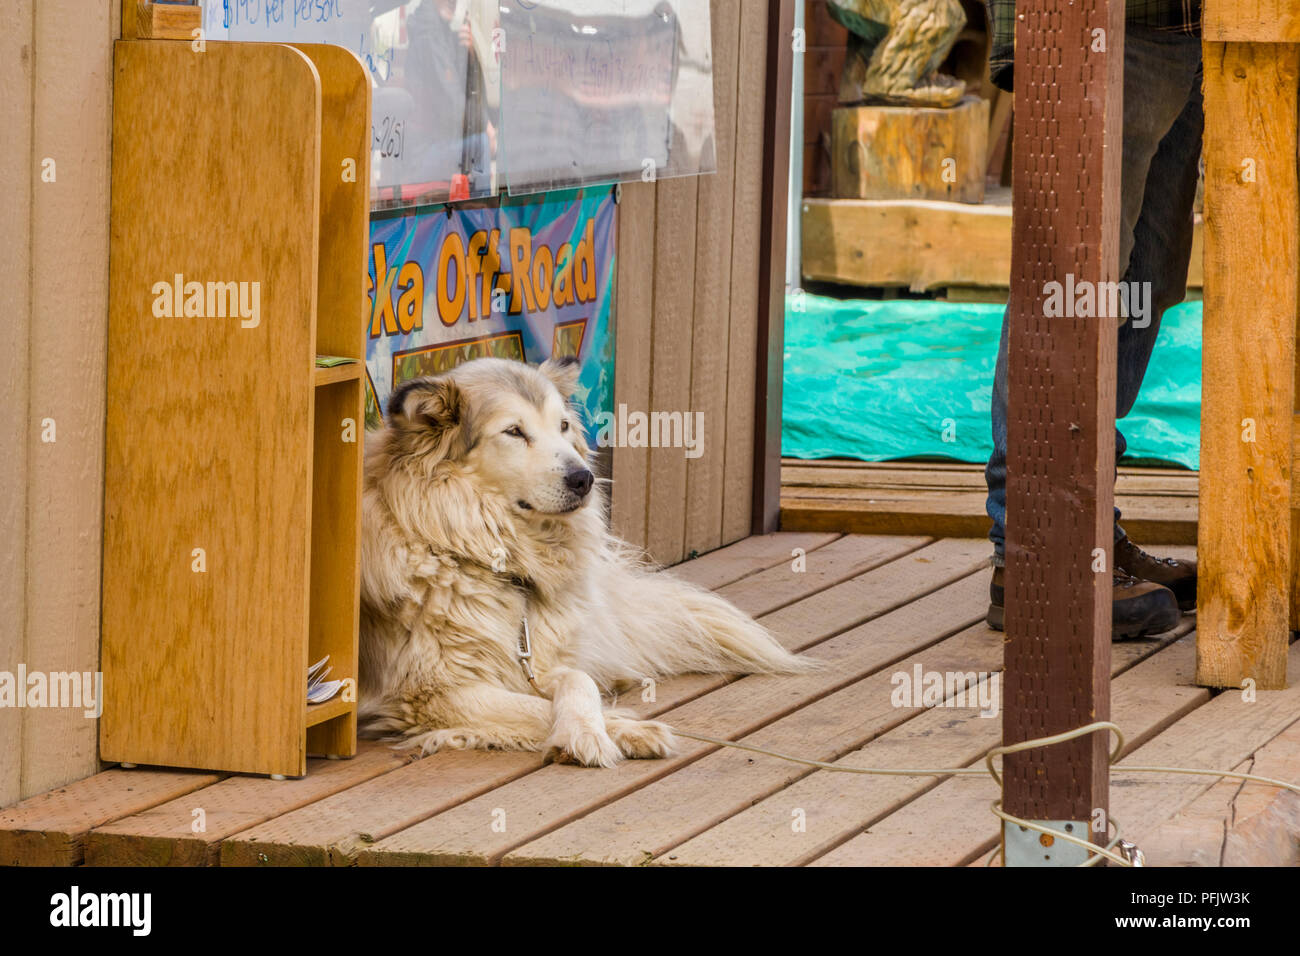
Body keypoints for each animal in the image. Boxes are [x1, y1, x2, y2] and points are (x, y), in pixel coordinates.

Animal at [361, 356, 806, 764]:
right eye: (513, 431)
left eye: (562, 426)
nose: (584, 479)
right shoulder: (433, 693)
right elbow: (536, 707)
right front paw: (600, 732)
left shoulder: (533, 662)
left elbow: (578, 682)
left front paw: (605, 726)